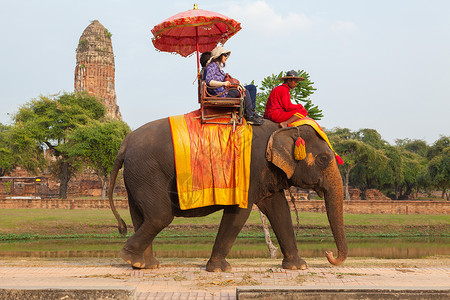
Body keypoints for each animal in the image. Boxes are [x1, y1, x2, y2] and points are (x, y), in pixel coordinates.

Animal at [109, 118, 348, 272]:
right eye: (324, 159)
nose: (328, 254)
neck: (281, 128)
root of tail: (124, 144)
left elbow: (279, 209)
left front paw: (299, 267)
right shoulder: (249, 170)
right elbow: (239, 212)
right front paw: (219, 269)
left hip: (136, 177)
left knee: (141, 216)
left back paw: (144, 264)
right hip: (147, 172)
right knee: (160, 216)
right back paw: (132, 258)